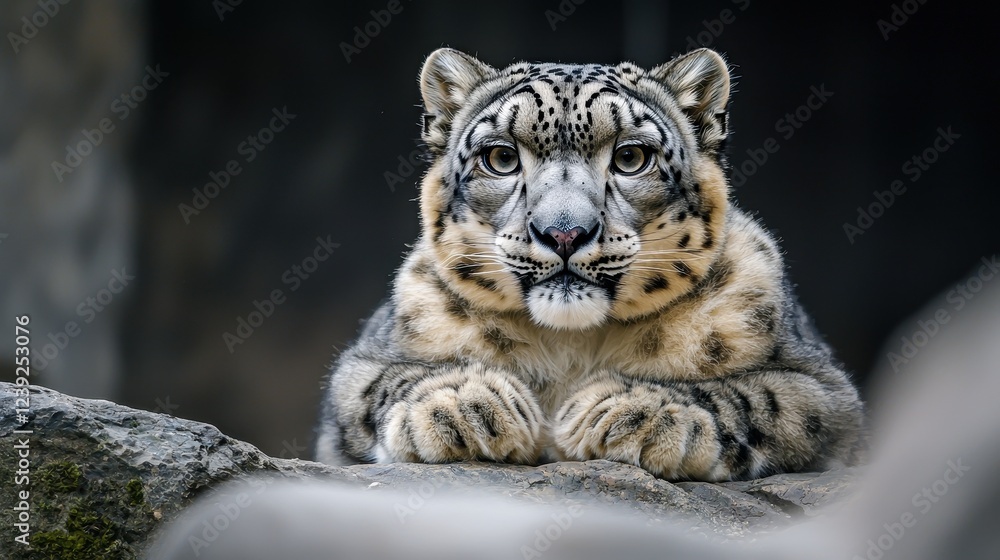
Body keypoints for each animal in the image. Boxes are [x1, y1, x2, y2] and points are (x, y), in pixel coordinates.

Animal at [314, 47, 865, 481]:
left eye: (631, 158)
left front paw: (634, 412)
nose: (564, 233)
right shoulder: (361, 366)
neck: (571, 347)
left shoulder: (822, 386)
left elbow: (760, 396)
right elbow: (382, 382)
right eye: (501, 158)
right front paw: (464, 404)